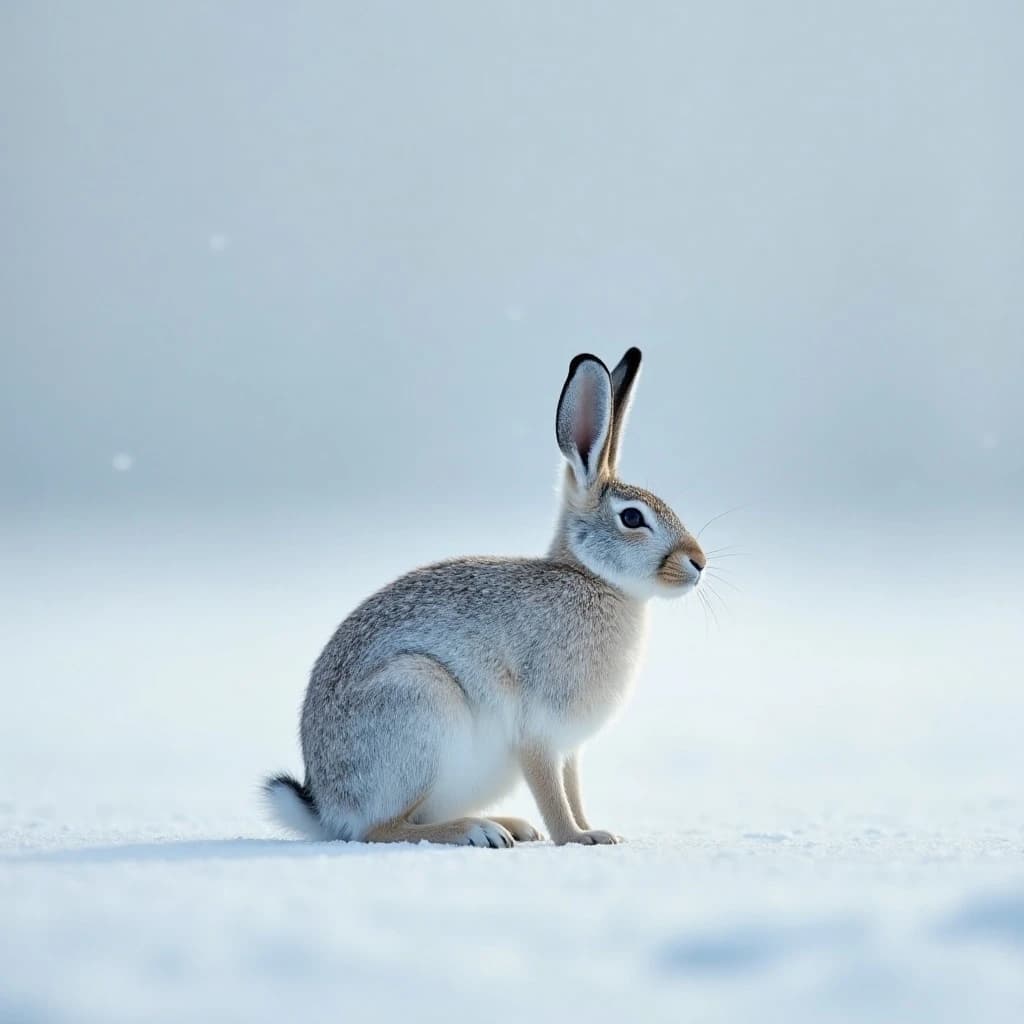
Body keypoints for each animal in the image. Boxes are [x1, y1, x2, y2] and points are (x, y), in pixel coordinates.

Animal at [264, 348, 706, 847]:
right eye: (632, 518)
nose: (699, 562)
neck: (592, 578)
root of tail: (326, 807)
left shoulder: (570, 747)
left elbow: (573, 789)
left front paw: (597, 832)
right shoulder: (538, 731)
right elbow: (552, 793)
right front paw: (577, 838)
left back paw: (511, 826)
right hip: (418, 704)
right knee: (380, 829)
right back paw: (479, 831)